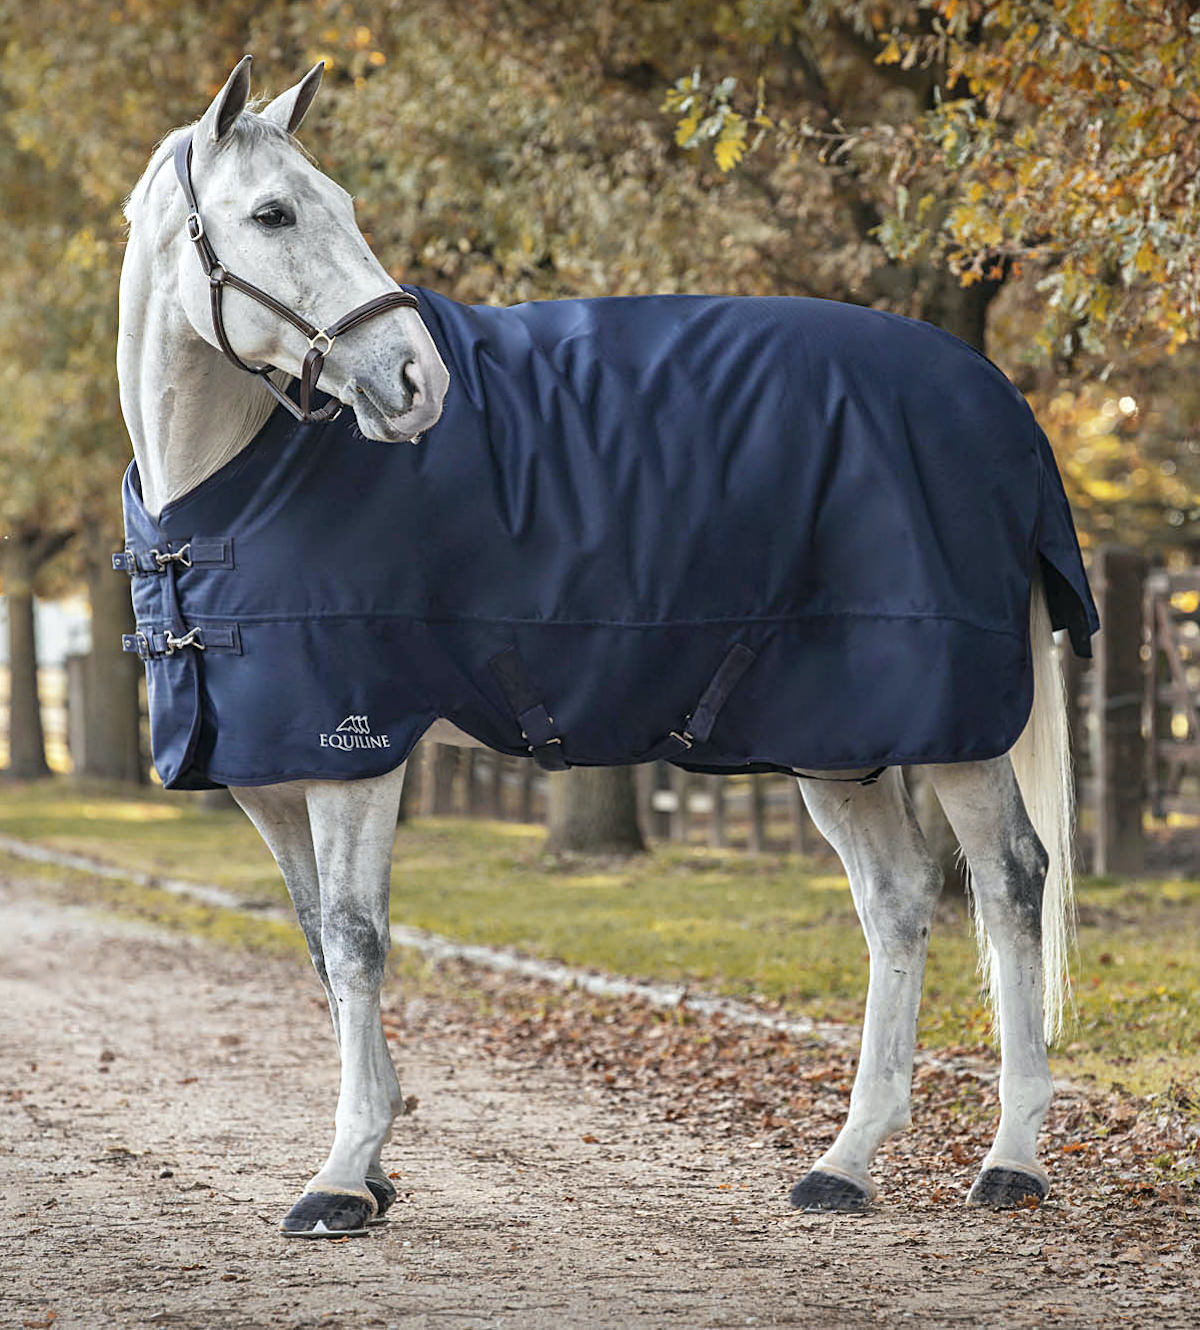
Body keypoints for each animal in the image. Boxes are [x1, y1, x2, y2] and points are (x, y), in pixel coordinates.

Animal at [116, 56, 1097, 1237]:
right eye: (273, 213)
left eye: (340, 204)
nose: (417, 384)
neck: (229, 491)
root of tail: (1001, 404)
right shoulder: (271, 772)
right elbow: (317, 941)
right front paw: (378, 1162)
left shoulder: (358, 749)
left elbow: (356, 942)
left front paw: (344, 1171)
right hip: (839, 733)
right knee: (900, 903)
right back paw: (847, 1160)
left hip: (954, 725)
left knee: (1008, 883)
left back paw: (1013, 1157)